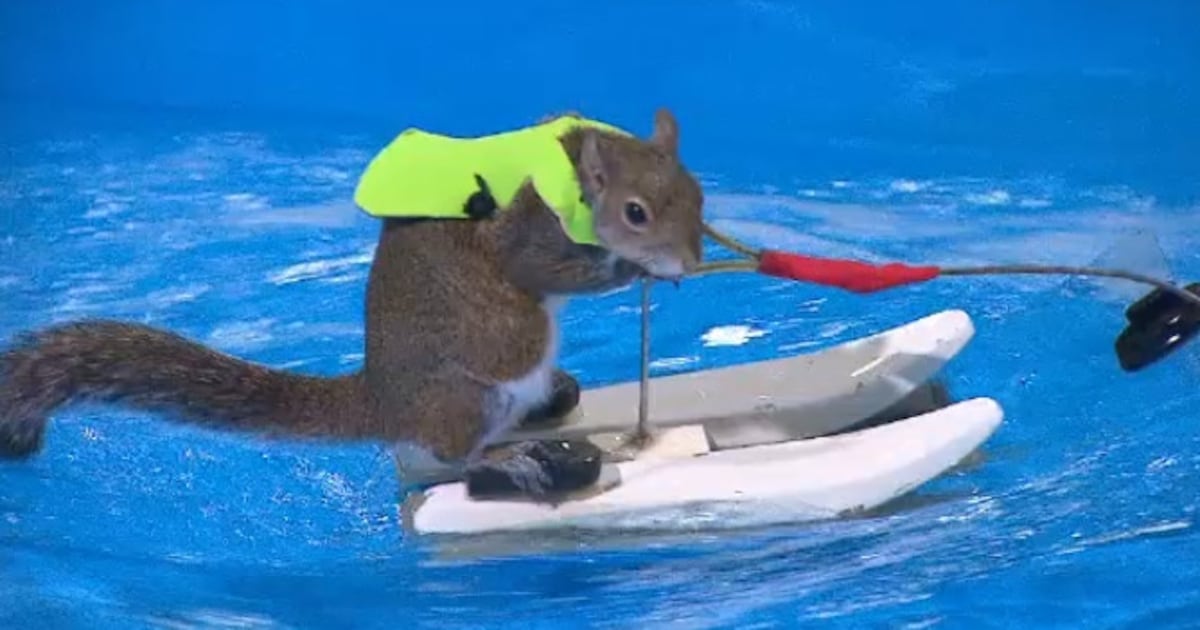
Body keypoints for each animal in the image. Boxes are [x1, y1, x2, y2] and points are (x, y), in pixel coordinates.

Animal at [0, 108, 704, 499]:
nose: (693, 260)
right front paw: (631, 268)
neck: (572, 169)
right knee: (453, 451)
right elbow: (549, 271)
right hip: (472, 395)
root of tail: (384, 400)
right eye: (635, 213)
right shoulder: (531, 234)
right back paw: (507, 458)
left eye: (697, 192)